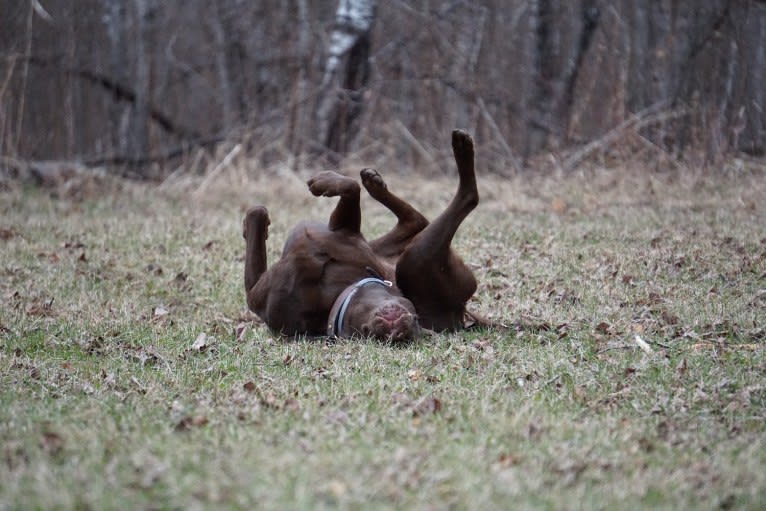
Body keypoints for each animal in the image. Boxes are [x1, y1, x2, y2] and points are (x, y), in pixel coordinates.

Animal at [246, 130, 484, 342]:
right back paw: (375, 184)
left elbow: (351, 188)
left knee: (467, 198)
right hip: (392, 251)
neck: (333, 298)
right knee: (417, 220)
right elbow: (351, 188)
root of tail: (461, 312)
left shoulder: (256, 292)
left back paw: (462, 149)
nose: (397, 330)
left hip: (414, 258)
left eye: (417, 321)